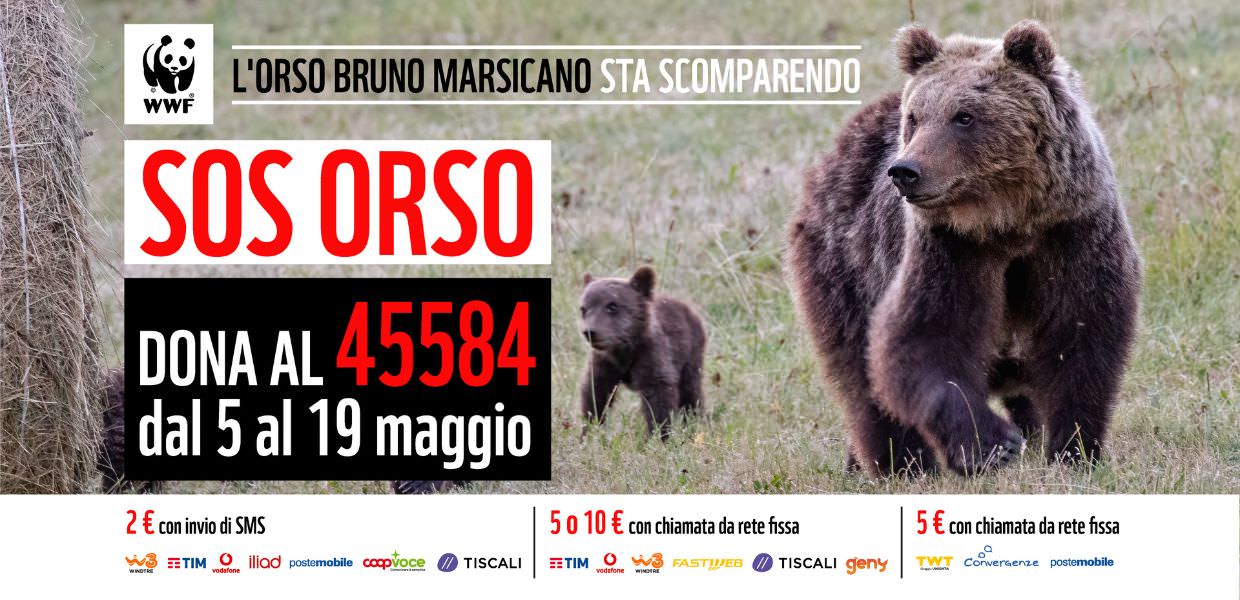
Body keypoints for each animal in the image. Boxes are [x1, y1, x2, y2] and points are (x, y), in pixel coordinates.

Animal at [578, 266, 707, 438]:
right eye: (584, 309)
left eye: (612, 306)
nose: (590, 332)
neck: (625, 351)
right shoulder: (605, 364)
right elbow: (595, 395)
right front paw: (589, 431)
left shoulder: (651, 358)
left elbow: (659, 399)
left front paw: (660, 436)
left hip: (690, 356)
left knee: (691, 393)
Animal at [785, 21, 1141, 477]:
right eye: (915, 117)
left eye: (964, 116)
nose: (905, 171)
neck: (1008, 223)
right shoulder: (949, 251)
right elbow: (921, 341)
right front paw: (992, 443)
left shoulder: (1073, 236)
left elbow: (1082, 340)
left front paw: (1073, 450)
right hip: (845, 267)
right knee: (861, 377)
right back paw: (901, 464)